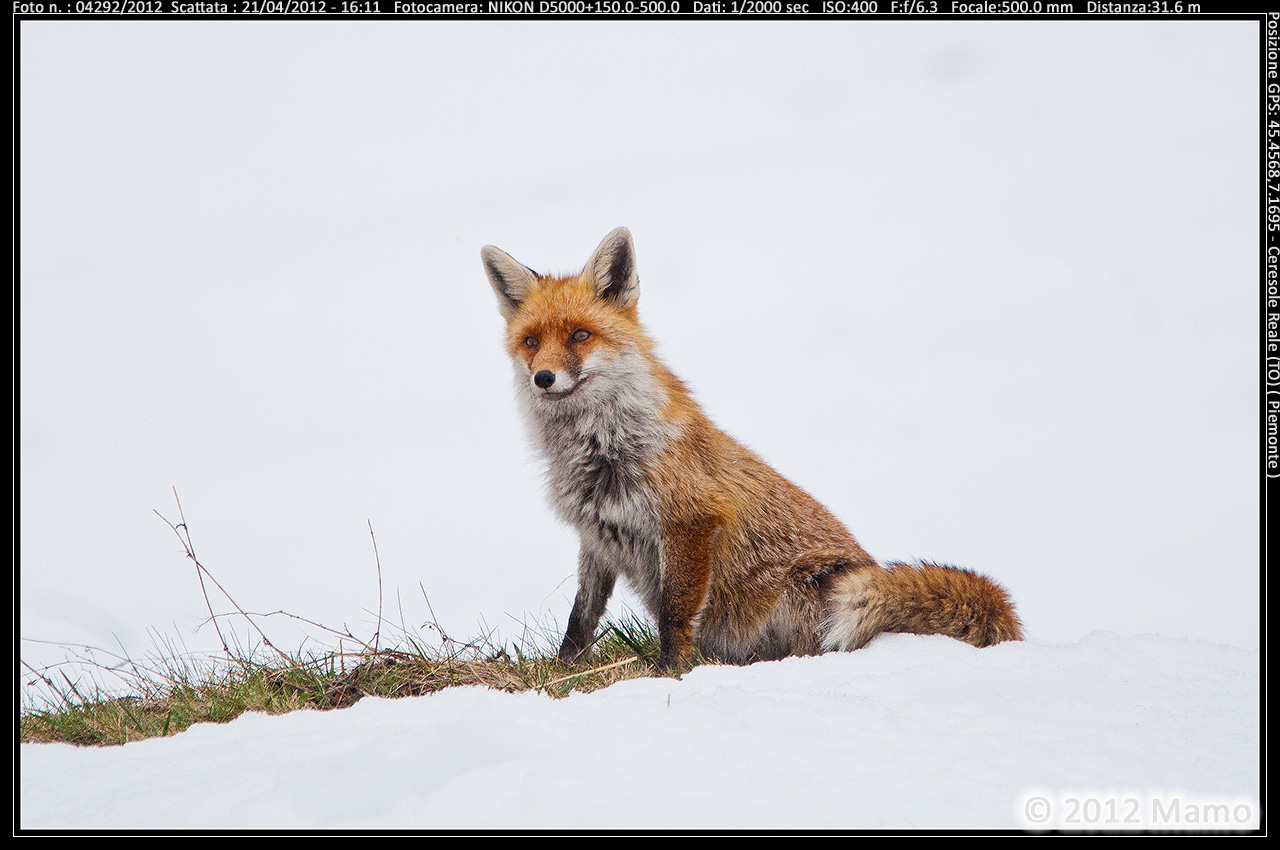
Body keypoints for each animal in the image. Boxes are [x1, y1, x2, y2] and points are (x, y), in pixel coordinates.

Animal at [481, 227, 1022, 673]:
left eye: (580, 335)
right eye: (531, 342)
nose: (543, 378)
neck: (602, 447)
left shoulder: (691, 522)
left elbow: (676, 614)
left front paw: (670, 673)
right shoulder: (597, 535)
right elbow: (581, 616)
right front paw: (564, 668)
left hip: (808, 592)